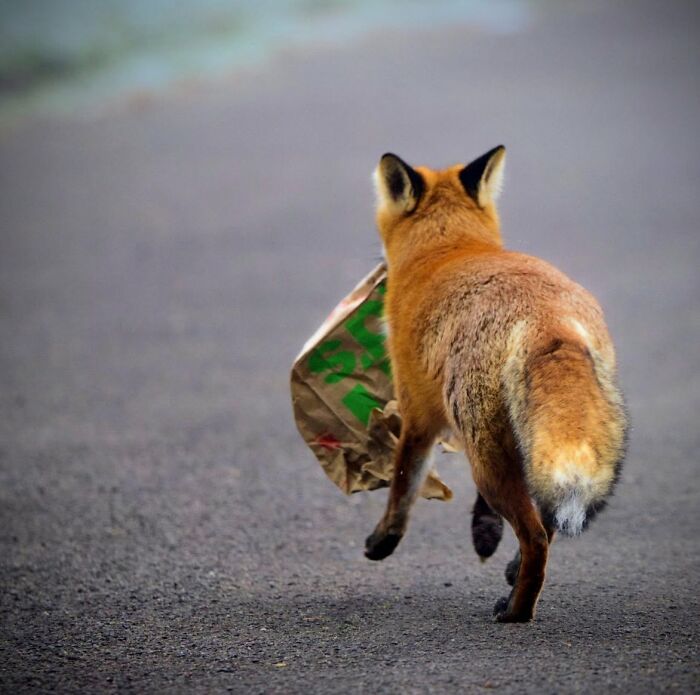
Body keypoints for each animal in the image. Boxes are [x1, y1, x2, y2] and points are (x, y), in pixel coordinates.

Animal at [364, 146, 628, 622]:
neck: (451, 248)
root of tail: (550, 320)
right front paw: (484, 533)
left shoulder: (418, 413)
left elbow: (402, 484)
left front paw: (383, 540)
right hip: (525, 444)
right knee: (549, 517)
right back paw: (513, 576)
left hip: (485, 455)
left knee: (536, 536)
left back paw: (516, 610)